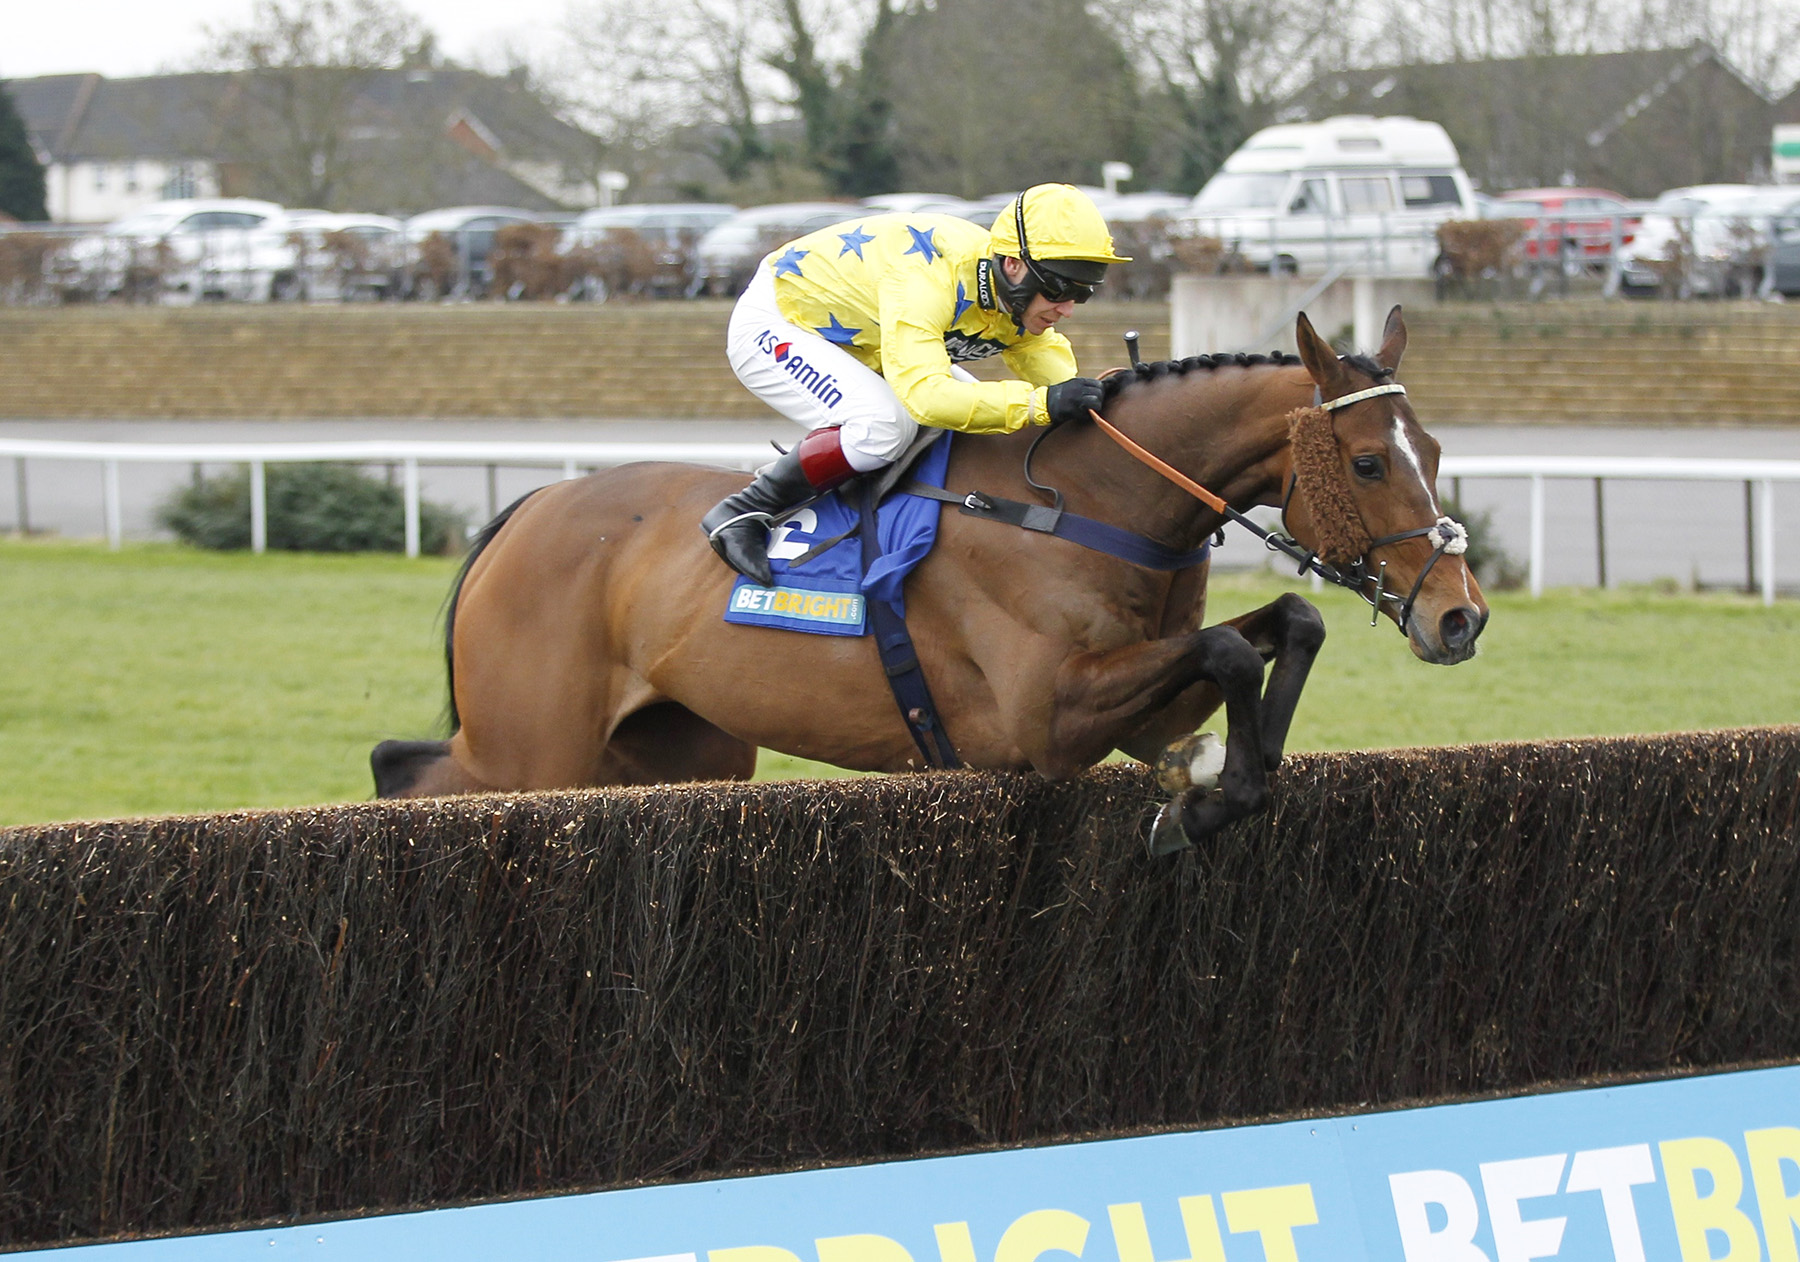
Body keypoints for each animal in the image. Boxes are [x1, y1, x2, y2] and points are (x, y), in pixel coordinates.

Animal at [372, 306, 1483, 846]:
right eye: (1370, 462)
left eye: (1433, 444)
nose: (1459, 615)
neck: (1089, 500)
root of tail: (528, 509)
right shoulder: (1045, 718)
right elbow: (1226, 648)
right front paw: (1208, 798)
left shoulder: (1143, 702)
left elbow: (1290, 622)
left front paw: (1213, 781)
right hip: (534, 751)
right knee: (408, 770)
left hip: (674, 752)